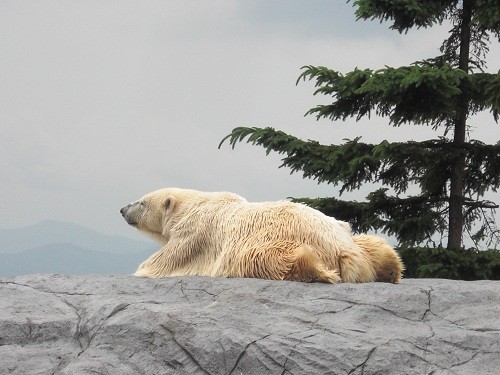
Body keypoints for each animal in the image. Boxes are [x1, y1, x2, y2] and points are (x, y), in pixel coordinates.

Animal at [120, 189, 382, 284]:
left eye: (142, 202)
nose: (122, 209)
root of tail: (344, 251)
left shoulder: (194, 232)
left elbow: (165, 262)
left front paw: (142, 269)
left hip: (269, 244)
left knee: (269, 259)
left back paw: (317, 271)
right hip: (346, 231)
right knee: (373, 244)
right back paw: (388, 267)